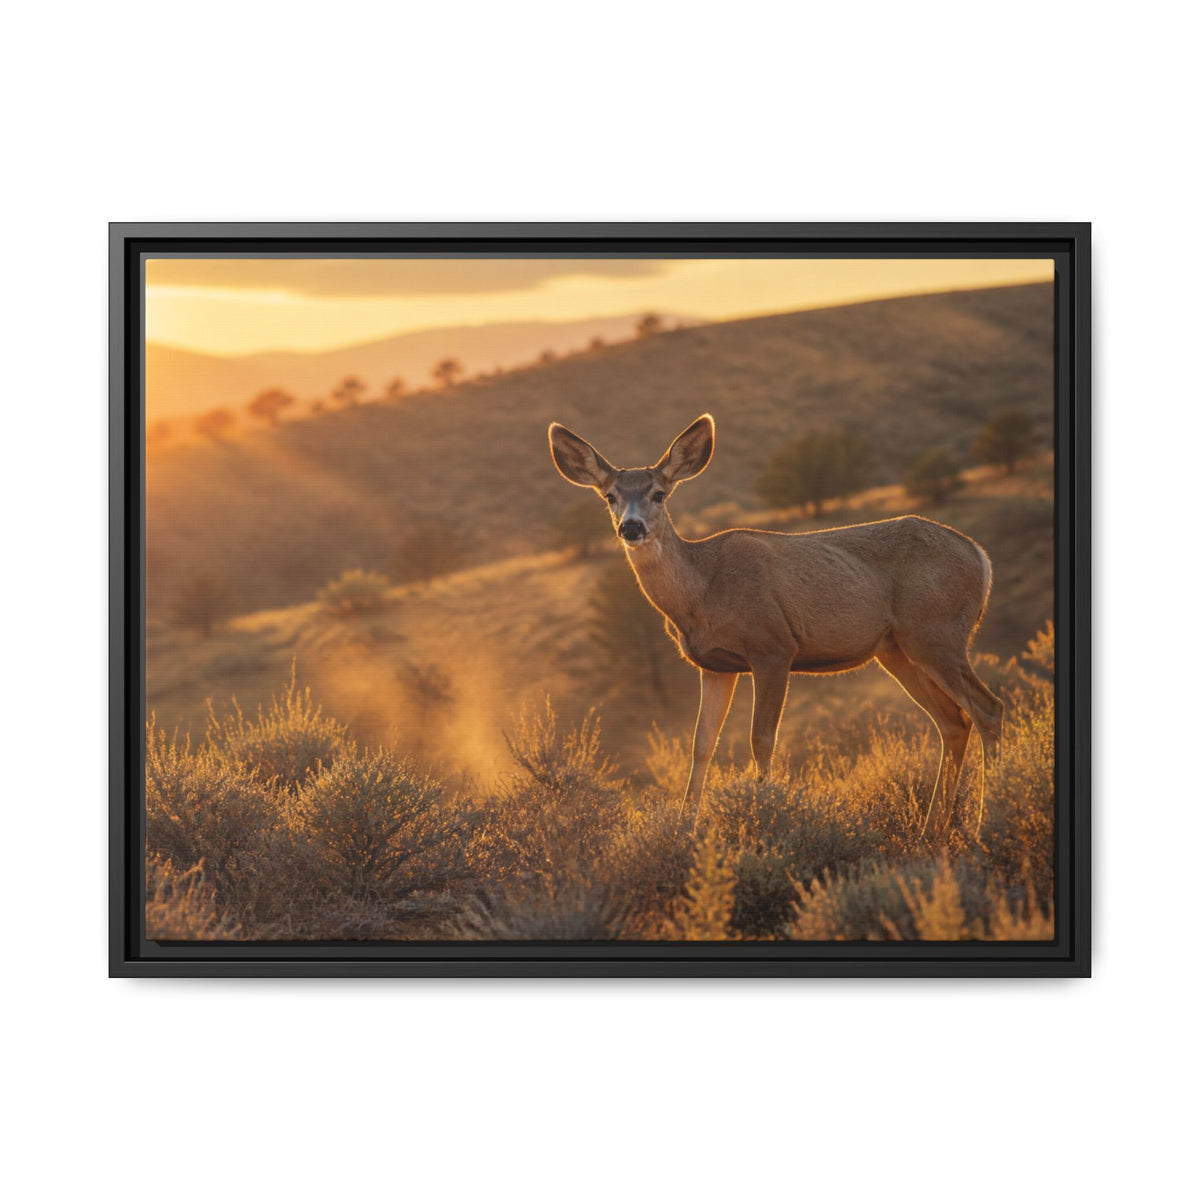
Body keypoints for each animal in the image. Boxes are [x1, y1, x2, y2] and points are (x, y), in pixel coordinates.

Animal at [548, 413, 1004, 838]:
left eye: (659, 494)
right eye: (610, 496)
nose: (631, 527)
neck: (702, 593)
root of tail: (981, 557)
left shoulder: (773, 646)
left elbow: (761, 739)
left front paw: (763, 817)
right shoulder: (715, 666)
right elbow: (702, 744)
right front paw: (685, 827)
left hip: (936, 632)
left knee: (988, 708)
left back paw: (987, 824)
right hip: (897, 649)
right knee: (953, 721)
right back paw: (932, 829)